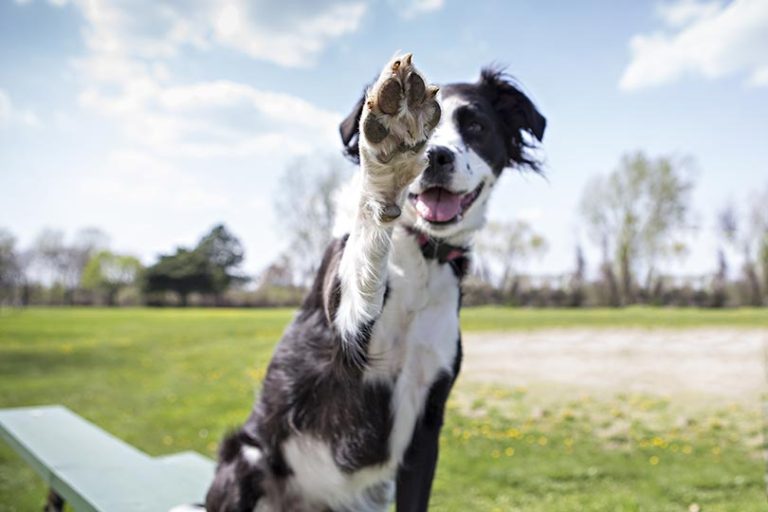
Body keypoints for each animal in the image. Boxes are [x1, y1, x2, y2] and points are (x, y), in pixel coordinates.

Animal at [201, 54, 544, 510]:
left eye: (476, 126)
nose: (437, 157)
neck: (421, 255)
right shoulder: (347, 335)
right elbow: (366, 249)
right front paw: (390, 156)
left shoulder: (426, 426)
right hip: (247, 456)